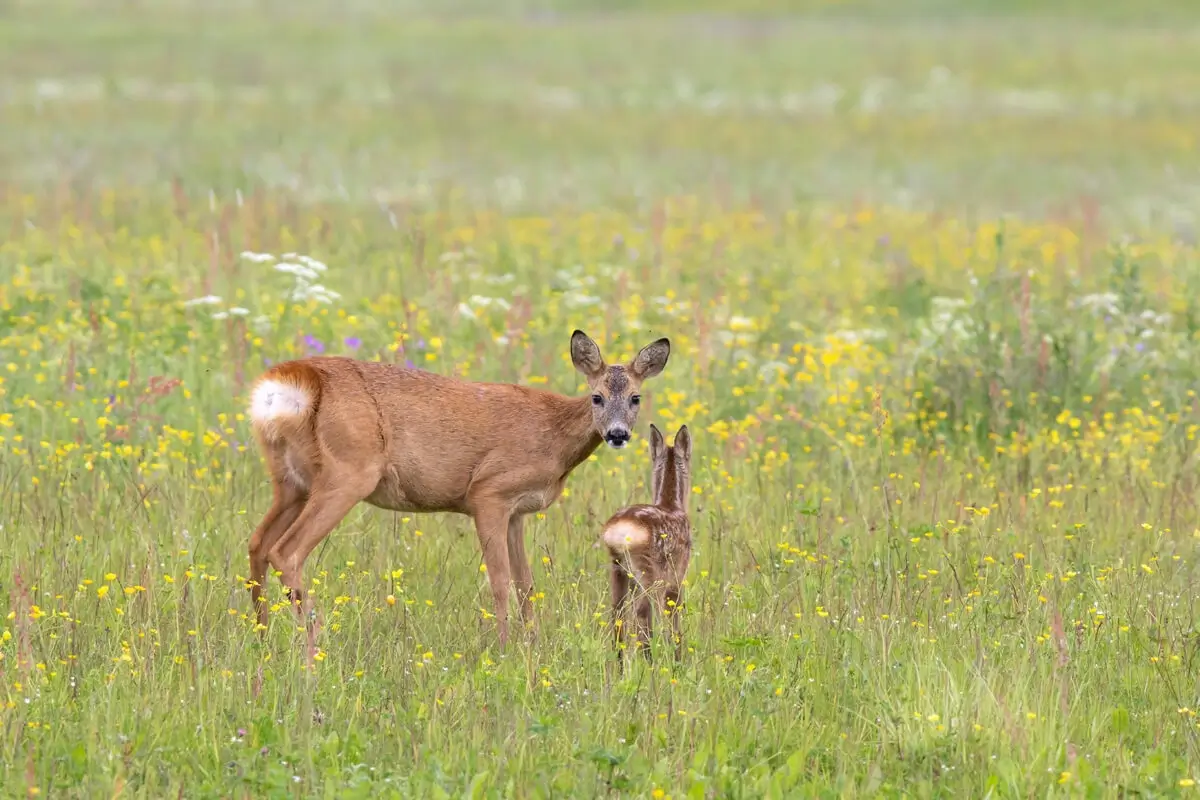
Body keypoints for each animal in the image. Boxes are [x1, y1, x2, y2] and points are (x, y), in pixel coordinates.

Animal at [245, 329, 670, 649]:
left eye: (635, 397)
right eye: (597, 396)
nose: (617, 434)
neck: (555, 435)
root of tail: (290, 382)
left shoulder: (517, 512)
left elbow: (526, 584)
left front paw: (534, 646)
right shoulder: (489, 492)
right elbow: (499, 583)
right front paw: (505, 650)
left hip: (291, 481)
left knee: (258, 543)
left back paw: (263, 641)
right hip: (348, 473)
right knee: (287, 550)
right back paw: (314, 646)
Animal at [602, 423, 692, 668]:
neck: (673, 505)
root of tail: (619, 532)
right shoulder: (677, 575)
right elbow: (674, 621)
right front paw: (679, 663)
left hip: (618, 569)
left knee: (618, 616)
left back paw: (620, 669)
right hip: (648, 573)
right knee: (642, 616)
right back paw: (650, 667)